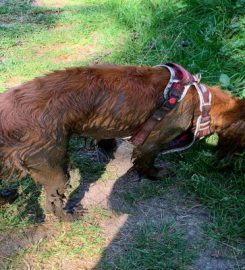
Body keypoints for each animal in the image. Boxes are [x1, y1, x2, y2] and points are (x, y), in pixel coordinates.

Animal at [0, 65, 244, 219]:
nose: (230, 169)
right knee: (53, 201)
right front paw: (157, 174)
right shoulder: (152, 142)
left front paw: (106, 148)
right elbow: (146, 162)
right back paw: (69, 217)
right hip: (51, 164)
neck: (201, 102)